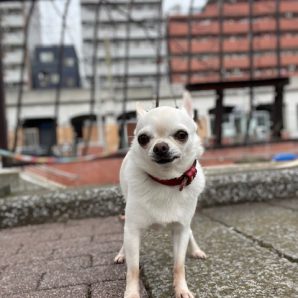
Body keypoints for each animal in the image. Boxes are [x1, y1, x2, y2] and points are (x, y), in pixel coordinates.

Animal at [115, 92, 206, 296]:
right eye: (142, 138)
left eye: (181, 135)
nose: (160, 147)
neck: (166, 181)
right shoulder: (132, 231)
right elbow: (133, 269)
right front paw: (131, 293)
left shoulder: (181, 229)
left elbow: (179, 265)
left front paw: (182, 290)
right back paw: (121, 254)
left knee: (190, 232)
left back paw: (196, 250)